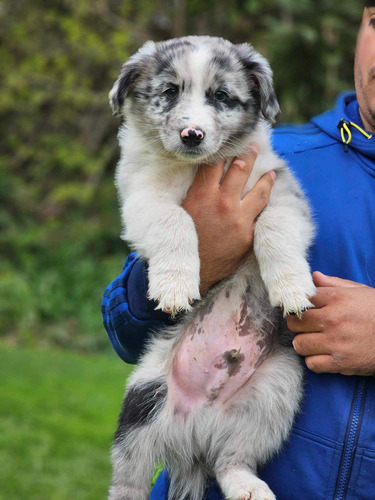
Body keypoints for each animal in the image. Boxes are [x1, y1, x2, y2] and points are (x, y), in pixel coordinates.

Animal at [109, 36, 318, 500]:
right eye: (169, 92)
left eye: (221, 96)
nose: (192, 134)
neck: (196, 167)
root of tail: (196, 432)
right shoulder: (142, 196)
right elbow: (176, 221)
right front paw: (174, 285)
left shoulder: (279, 191)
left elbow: (275, 228)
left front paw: (292, 287)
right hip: (142, 400)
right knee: (127, 477)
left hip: (274, 393)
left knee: (231, 460)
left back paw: (249, 487)